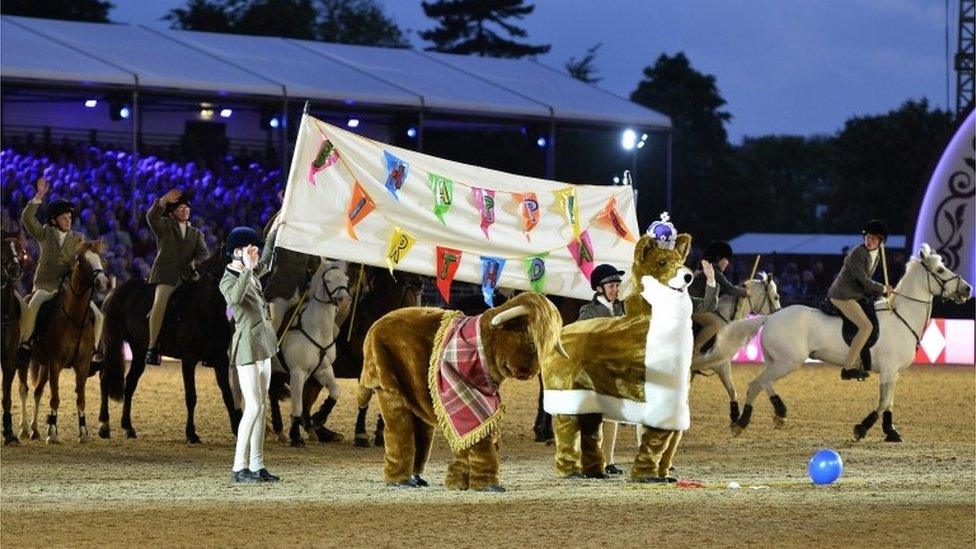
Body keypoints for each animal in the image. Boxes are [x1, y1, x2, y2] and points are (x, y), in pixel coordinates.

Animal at [25, 242, 112, 444]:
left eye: (101, 259)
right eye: (83, 261)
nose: (102, 282)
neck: (74, 317)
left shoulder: (82, 365)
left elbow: (81, 398)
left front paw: (83, 432)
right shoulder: (56, 363)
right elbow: (55, 398)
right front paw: (52, 433)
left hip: (44, 365)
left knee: (37, 392)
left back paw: (34, 430)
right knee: (22, 390)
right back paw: (24, 429)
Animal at [97, 246, 238, 444]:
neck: (206, 309)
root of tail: (114, 291)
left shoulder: (220, 359)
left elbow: (227, 394)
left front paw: (237, 429)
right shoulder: (188, 359)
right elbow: (191, 396)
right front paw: (191, 434)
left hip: (139, 351)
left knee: (130, 384)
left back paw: (128, 428)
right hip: (112, 343)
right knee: (104, 379)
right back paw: (104, 426)